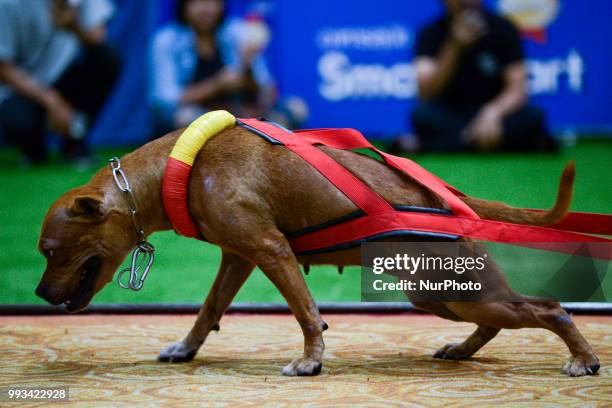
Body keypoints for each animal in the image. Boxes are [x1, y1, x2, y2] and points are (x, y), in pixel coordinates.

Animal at [35, 126, 600, 376]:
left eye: (49, 250)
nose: (39, 294)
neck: (182, 165)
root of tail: (448, 198)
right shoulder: (238, 258)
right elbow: (207, 311)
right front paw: (186, 348)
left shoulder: (270, 251)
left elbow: (307, 313)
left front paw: (310, 361)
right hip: (440, 293)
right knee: (500, 321)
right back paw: (461, 350)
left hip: (462, 291)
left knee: (550, 309)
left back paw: (583, 359)